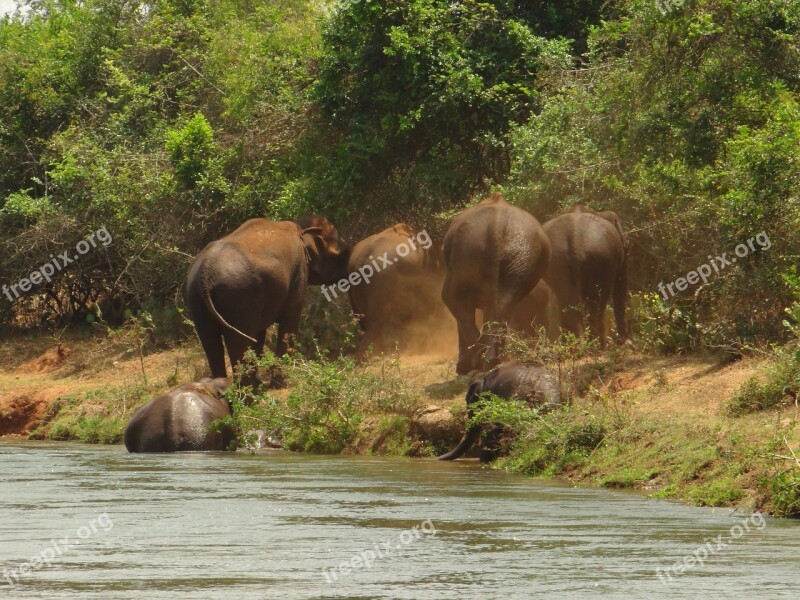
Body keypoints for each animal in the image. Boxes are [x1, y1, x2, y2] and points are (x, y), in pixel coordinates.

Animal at [188, 213, 350, 386]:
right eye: (341, 254)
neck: (300, 225)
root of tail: (205, 273)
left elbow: (259, 333)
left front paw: (261, 382)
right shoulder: (298, 272)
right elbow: (290, 320)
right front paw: (281, 383)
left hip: (196, 299)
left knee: (211, 342)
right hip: (237, 295)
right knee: (239, 342)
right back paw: (247, 392)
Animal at [440, 192, 552, 372]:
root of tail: (496, 224)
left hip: (467, 252)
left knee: (451, 298)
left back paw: (479, 361)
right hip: (521, 258)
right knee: (501, 305)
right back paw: (492, 360)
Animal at [540, 206, 628, 346]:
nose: (619, 340)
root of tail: (575, 239)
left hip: (557, 260)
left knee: (569, 303)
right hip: (601, 257)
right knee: (597, 305)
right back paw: (597, 345)